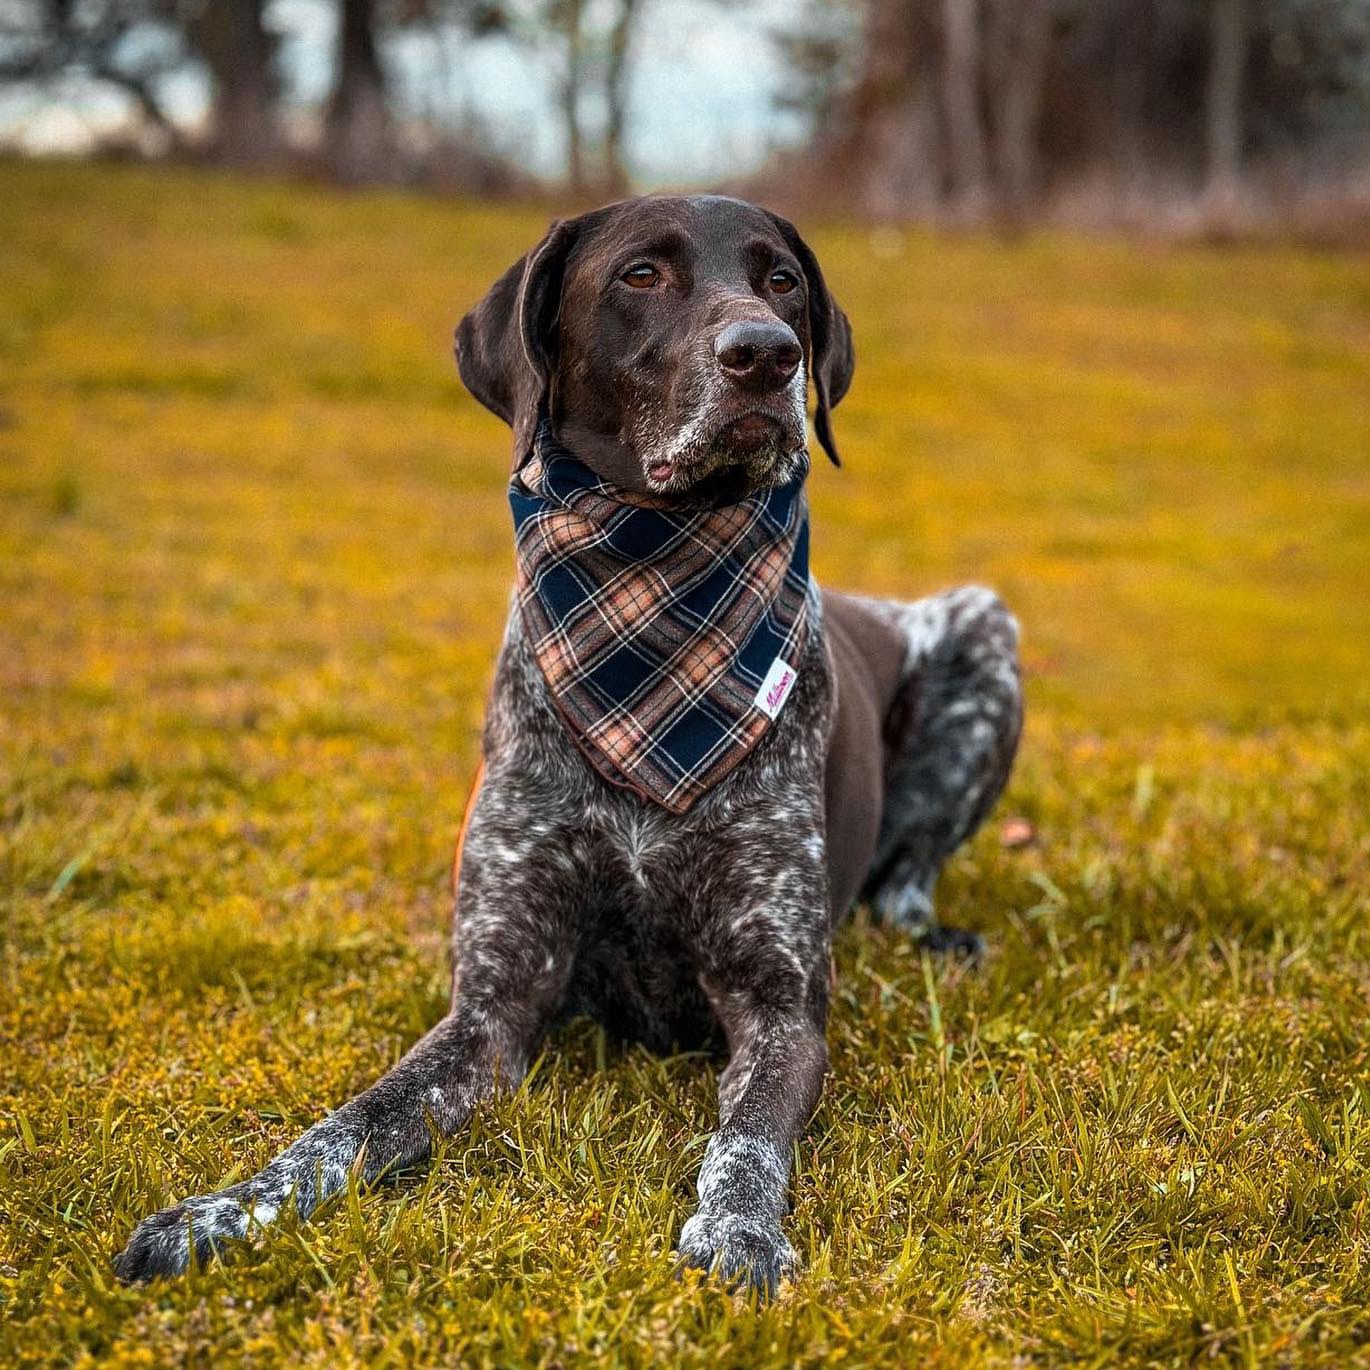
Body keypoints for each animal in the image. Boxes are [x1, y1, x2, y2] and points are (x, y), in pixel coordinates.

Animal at [115, 193, 1019, 1293]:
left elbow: (745, 1142)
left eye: (781, 282)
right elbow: (342, 1128)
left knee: (907, 877)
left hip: (982, 630)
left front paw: (737, 1232)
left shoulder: (780, 1005)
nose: (766, 355)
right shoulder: (490, 1011)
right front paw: (216, 1211)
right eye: (640, 275)